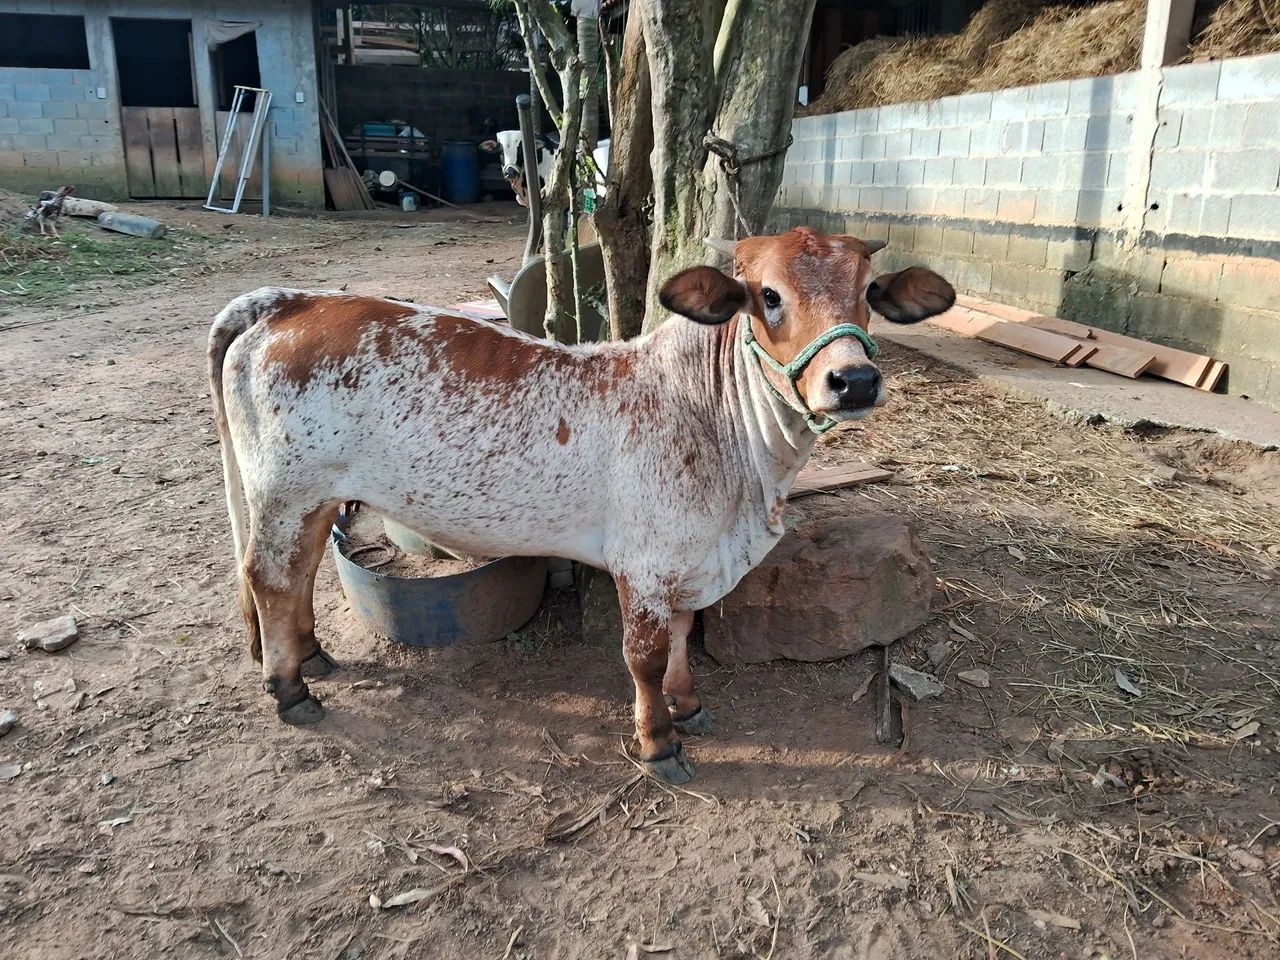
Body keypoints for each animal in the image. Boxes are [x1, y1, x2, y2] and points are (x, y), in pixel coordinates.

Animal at [208, 226, 955, 784]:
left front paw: (689, 706)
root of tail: (287, 303)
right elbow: (645, 656)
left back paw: (312, 655)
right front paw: (659, 743)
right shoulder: (645, 566)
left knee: (299, 574)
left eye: (868, 292)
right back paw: (291, 689)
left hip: (313, 500)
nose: (853, 380)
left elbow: (685, 632)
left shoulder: (688, 560)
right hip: (285, 492)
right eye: (768, 296)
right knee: (269, 577)